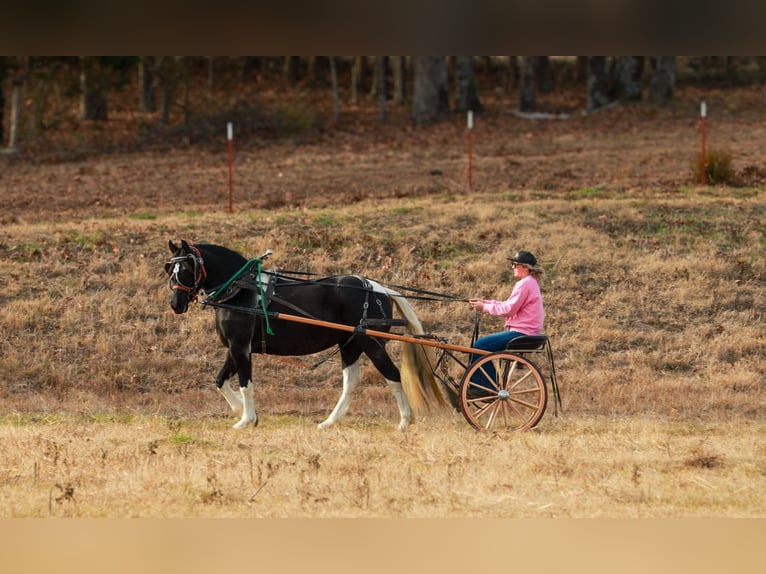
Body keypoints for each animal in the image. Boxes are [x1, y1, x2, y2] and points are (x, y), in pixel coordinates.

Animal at [164, 240, 446, 430]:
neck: (241, 290)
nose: (176, 304)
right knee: (351, 382)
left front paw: (246, 419)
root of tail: (379, 288)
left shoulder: (240, 347)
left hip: (372, 343)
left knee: (393, 375)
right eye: (170, 270)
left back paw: (405, 421)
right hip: (350, 344)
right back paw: (329, 422)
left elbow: (245, 383)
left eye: (187, 268)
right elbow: (220, 381)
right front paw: (241, 412)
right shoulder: (235, 348)